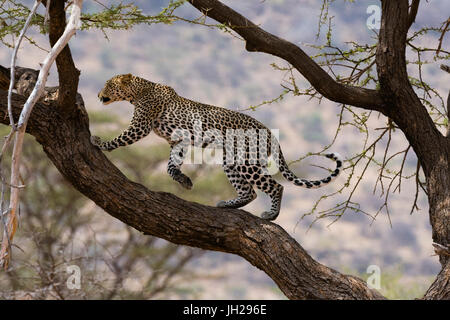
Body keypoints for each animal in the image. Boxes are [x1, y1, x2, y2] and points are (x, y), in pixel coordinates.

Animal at [92, 74, 344, 221]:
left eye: (107, 85)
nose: (97, 94)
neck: (139, 91)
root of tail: (271, 133)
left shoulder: (141, 125)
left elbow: (121, 138)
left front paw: (100, 143)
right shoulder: (178, 141)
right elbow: (171, 166)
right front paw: (184, 180)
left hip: (247, 161)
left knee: (275, 187)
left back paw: (271, 215)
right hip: (232, 161)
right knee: (250, 191)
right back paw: (227, 205)